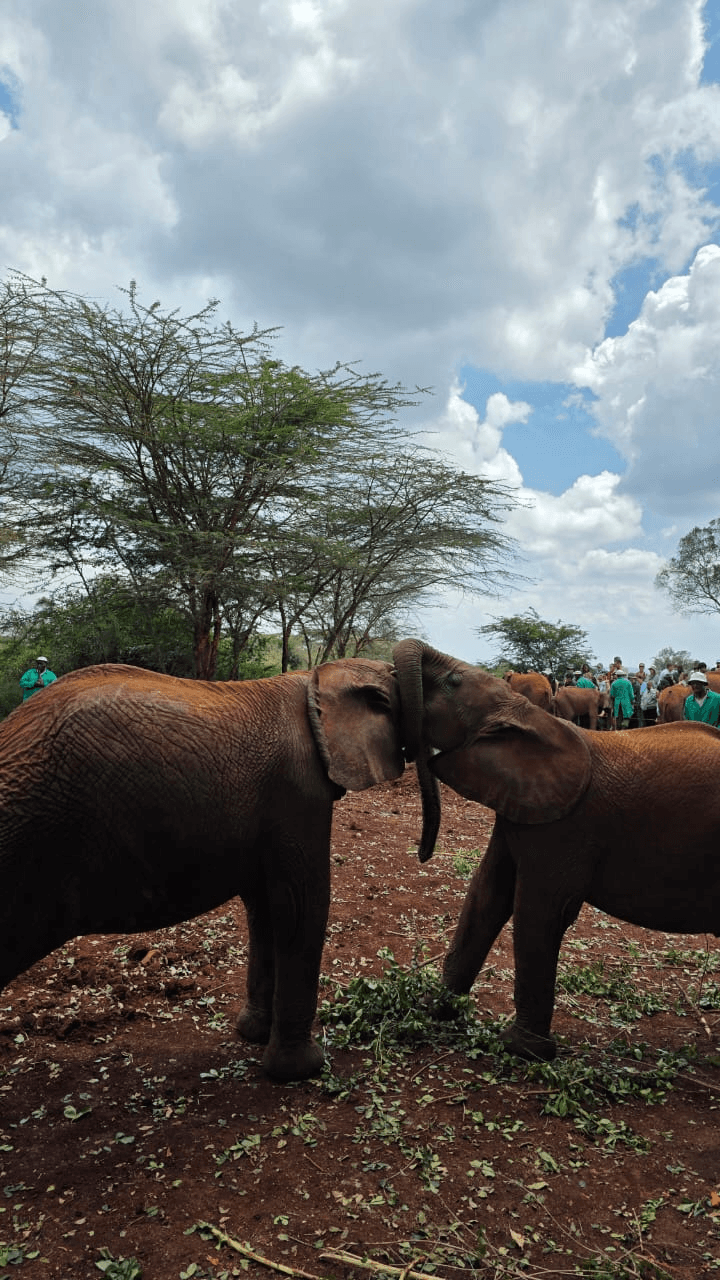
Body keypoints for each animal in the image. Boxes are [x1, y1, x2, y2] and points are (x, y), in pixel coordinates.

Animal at [0, 660, 404, 1081]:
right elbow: (300, 905)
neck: (318, 677)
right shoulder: (298, 791)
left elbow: (265, 907)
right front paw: (303, 1071)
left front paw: (252, 1035)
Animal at [393, 638, 720, 1061]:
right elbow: (486, 895)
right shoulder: (525, 807)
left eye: (452, 681)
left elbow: (539, 910)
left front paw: (523, 1050)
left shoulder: (568, 825)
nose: (423, 852)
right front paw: (433, 1010)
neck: (528, 715)